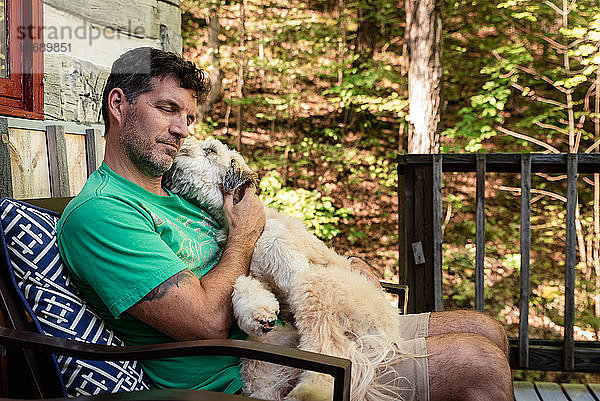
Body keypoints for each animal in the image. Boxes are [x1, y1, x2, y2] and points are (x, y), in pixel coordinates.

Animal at [162, 138, 410, 400]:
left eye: (210, 150)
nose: (180, 145)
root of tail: (386, 331)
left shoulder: (286, 254)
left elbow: (277, 251)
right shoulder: (252, 275)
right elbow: (244, 286)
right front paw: (259, 314)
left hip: (316, 287)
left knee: (329, 347)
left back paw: (311, 391)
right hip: (262, 360)